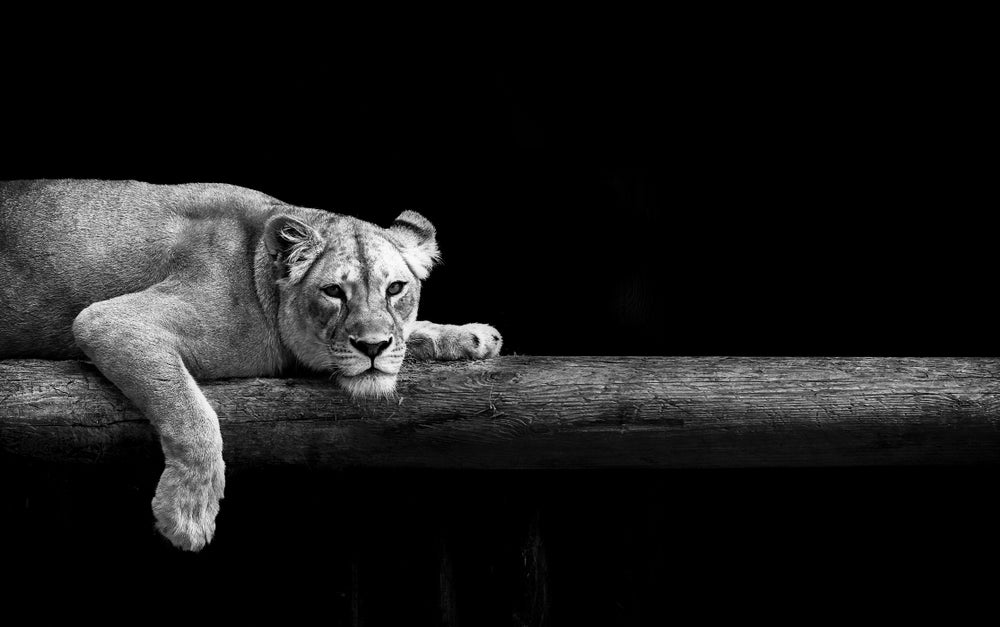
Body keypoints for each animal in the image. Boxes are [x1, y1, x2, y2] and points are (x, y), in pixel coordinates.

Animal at [0, 179, 502, 551]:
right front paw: (187, 514)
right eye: (333, 292)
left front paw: (470, 335)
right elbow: (193, 415)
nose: (373, 346)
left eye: (396, 289)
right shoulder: (108, 320)